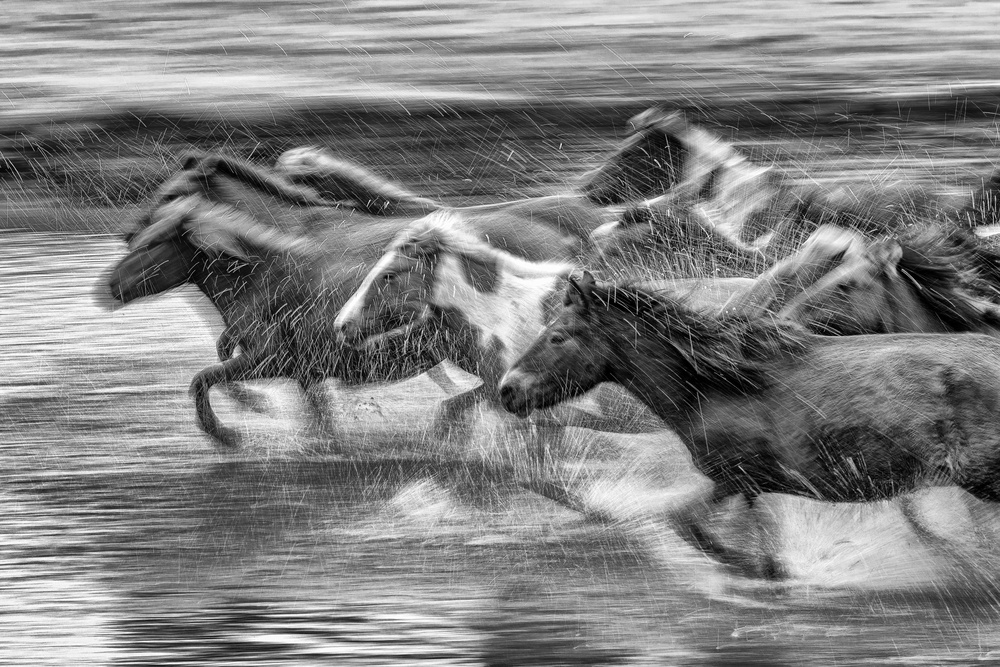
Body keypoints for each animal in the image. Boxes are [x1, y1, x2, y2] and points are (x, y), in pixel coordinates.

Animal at [498, 272, 1000, 577]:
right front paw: (772, 570)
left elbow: (687, 525)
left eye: (557, 336)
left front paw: (772, 575)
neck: (714, 384)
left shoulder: (735, 478)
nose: (507, 390)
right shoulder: (752, 488)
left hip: (985, 479)